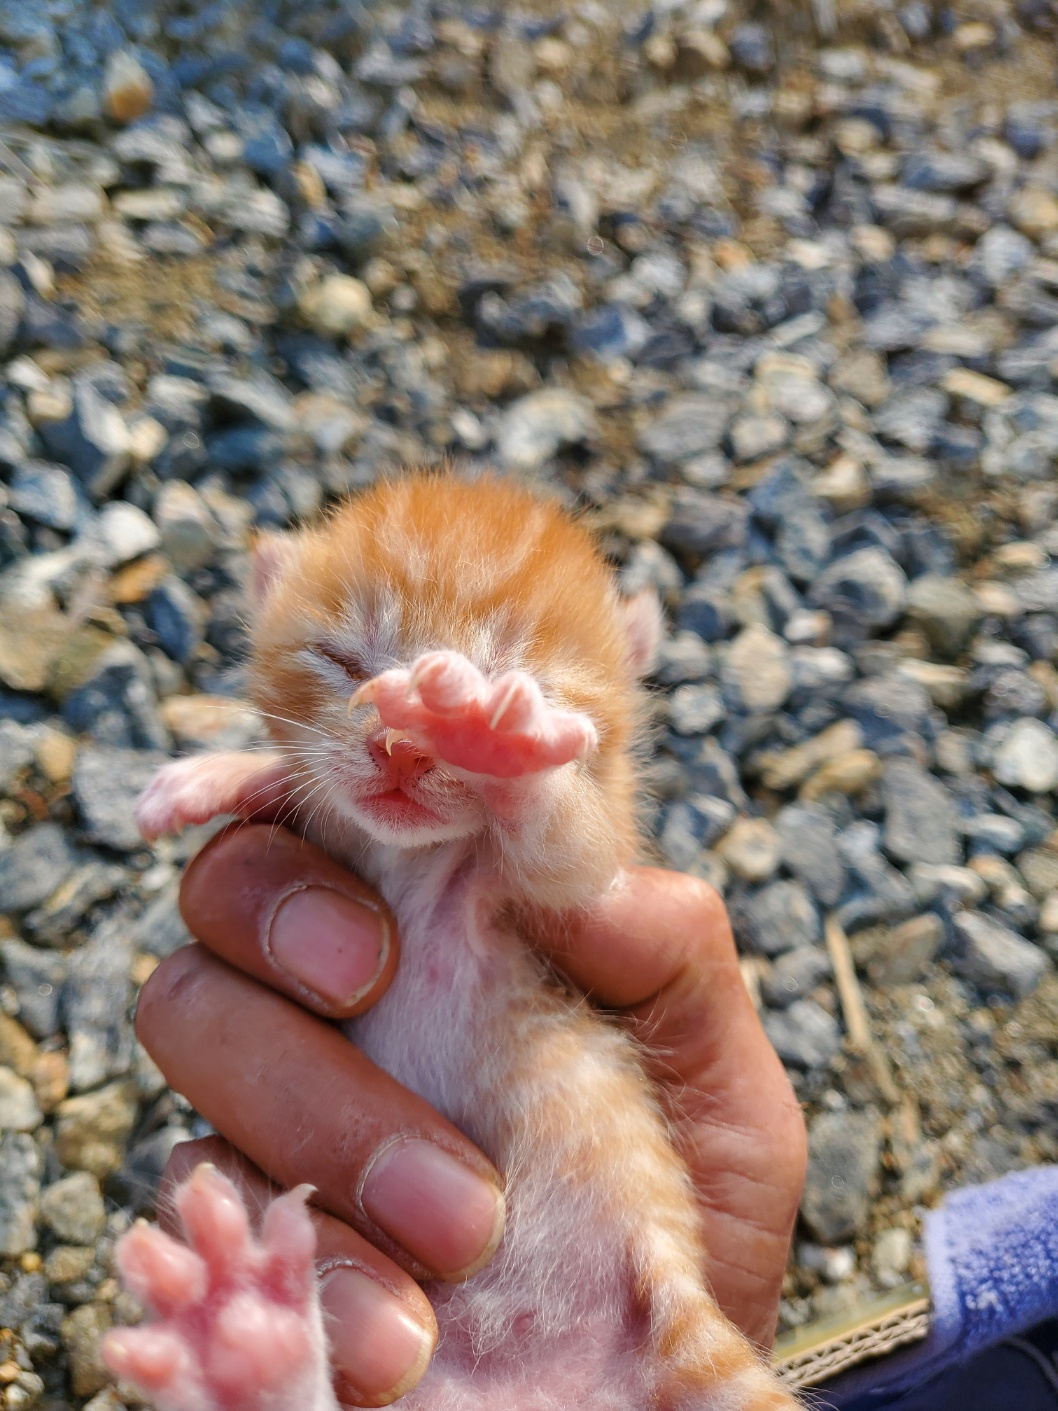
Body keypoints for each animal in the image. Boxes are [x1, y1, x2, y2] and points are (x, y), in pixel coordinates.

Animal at [101, 471, 801, 1411]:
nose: (402, 743)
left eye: (519, 681)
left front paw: (494, 740)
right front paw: (219, 773)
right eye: (344, 662)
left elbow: (567, 844)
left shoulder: (580, 875)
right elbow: (300, 780)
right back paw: (244, 1340)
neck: (416, 859)